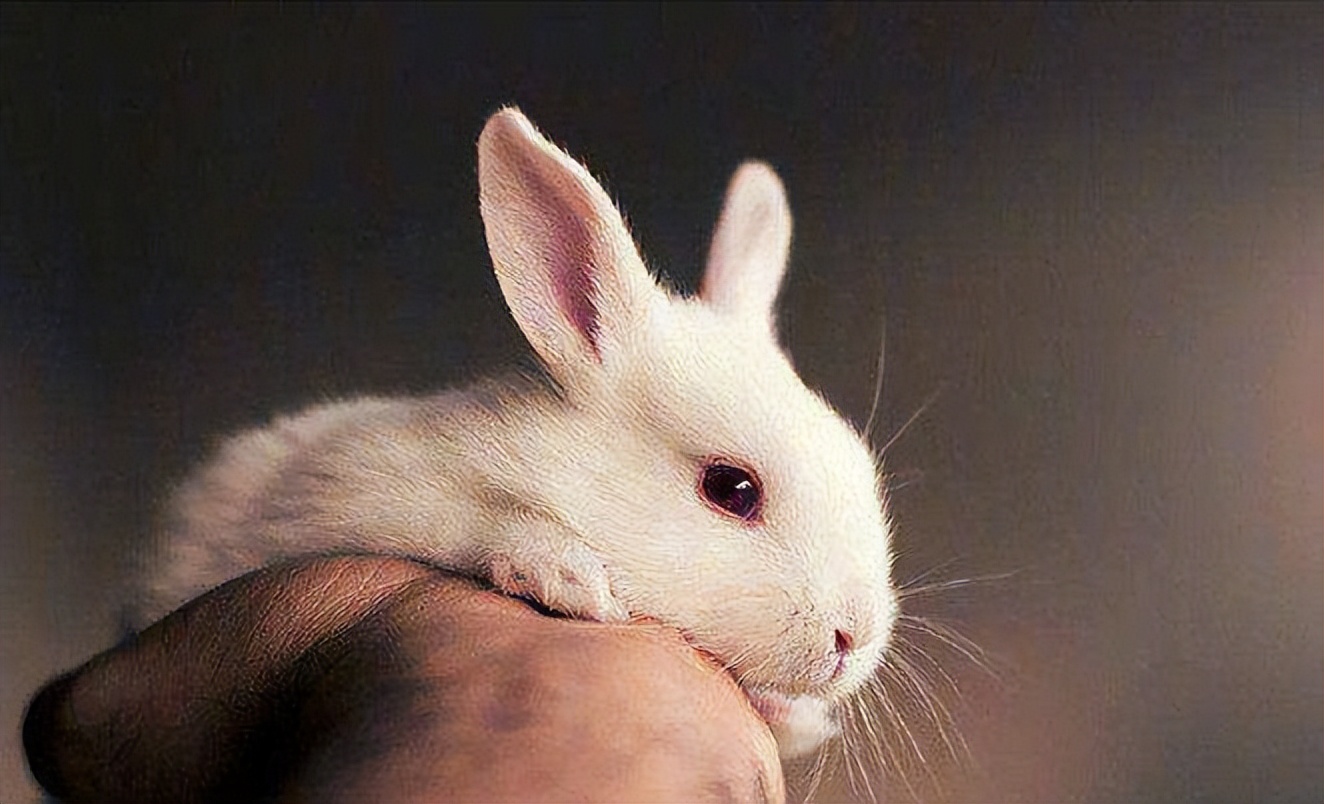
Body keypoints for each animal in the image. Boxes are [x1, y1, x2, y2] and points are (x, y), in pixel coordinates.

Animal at [135, 107, 900, 760]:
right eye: (732, 488)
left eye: (860, 465)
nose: (852, 638)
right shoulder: (352, 492)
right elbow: (474, 520)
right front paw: (570, 577)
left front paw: (798, 717)